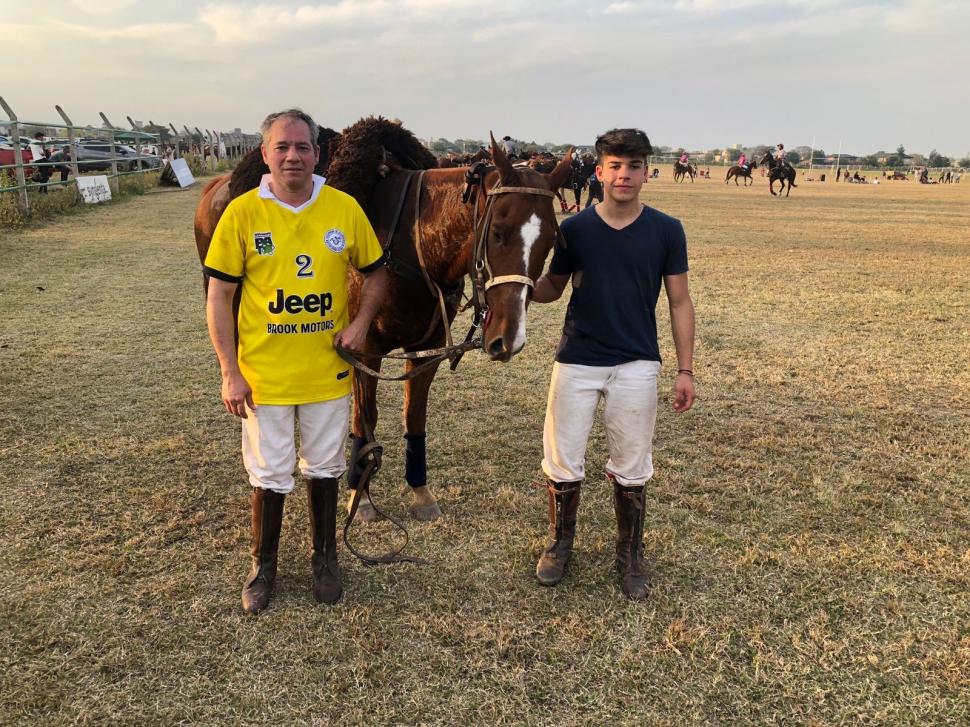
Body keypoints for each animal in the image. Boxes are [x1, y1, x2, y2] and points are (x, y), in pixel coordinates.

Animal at [196, 118, 572, 524]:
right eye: (499, 233)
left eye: (552, 242)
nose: (508, 337)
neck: (413, 238)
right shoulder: (363, 349)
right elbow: (366, 418)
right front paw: (359, 496)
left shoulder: (426, 349)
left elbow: (414, 417)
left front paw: (420, 492)